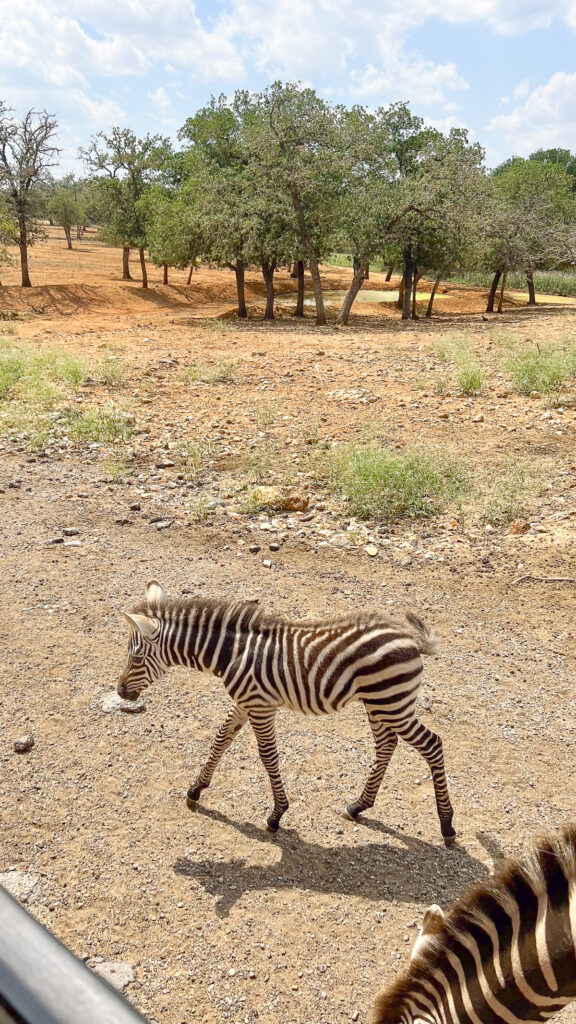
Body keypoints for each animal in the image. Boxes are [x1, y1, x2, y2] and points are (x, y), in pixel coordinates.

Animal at [118, 581, 455, 843]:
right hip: (379, 703)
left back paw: (446, 825)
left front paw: (277, 814)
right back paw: (358, 806)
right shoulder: (246, 703)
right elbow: (221, 739)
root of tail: (410, 637)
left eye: (136, 658)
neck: (231, 655)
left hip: (392, 703)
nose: (120, 692)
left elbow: (267, 756)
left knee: (432, 744)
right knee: (386, 745)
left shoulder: (260, 706)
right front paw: (196, 788)